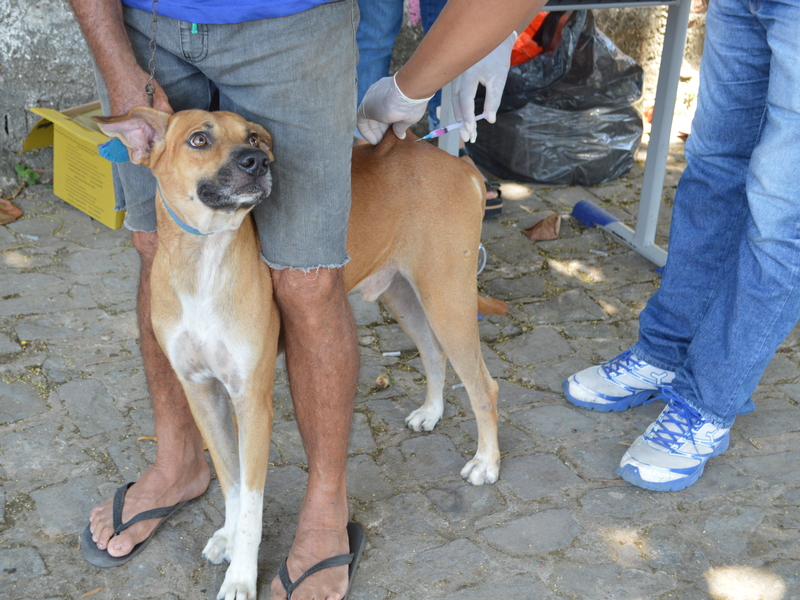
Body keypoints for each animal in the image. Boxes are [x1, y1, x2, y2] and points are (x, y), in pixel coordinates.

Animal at [94, 109, 506, 600]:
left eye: (253, 137)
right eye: (198, 140)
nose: (257, 161)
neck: (204, 262)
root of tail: (459, 165)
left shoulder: (253, 404)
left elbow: (252, 503)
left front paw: (241, 575)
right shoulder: (202, 394)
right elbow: (230, 481)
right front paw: (227, 537)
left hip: (448, 299)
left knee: (484, 386)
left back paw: (486, 463)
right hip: (403, 294)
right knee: (432, 351)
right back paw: (431, 411)